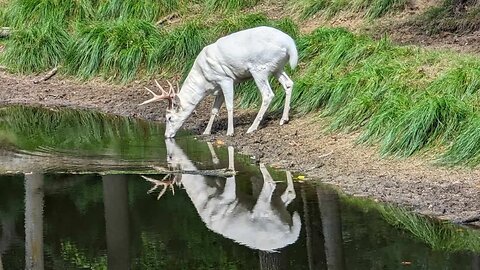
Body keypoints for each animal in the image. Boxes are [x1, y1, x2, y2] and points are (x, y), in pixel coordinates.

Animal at [139, 25, 296, 137]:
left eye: (169, 118)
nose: (166, 136)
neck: (204, 82)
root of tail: (290, 45)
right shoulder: (218, 86)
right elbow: (214, 110)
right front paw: (206, 132)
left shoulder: (225, 79)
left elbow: (230, 105)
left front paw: (230, 132)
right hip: (277, 67)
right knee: (289, 83)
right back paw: (284, 119)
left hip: (259, 68)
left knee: (268, 94)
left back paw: (252, 128)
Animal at [141, 140, 302, 252]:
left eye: (170, 157)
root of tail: (292, 232)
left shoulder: (228, 197)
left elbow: (230, 177)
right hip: (278, 208)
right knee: (289, 194)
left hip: (265, 209)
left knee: (270, 184)